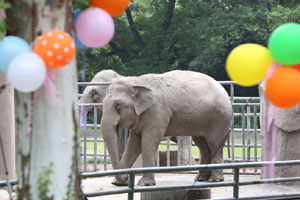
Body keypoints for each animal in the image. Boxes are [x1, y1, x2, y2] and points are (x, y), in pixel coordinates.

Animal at [101, 70, 232, 186]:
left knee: (215, 144)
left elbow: (148, 141)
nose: (126, 177)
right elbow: (134, 144)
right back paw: (201, 178)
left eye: (118, 106)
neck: (138, 81)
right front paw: (117, 183)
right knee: (203, 146)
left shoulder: (157, 111)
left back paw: (215, 180)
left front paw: (145, 184)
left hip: (219, 118)